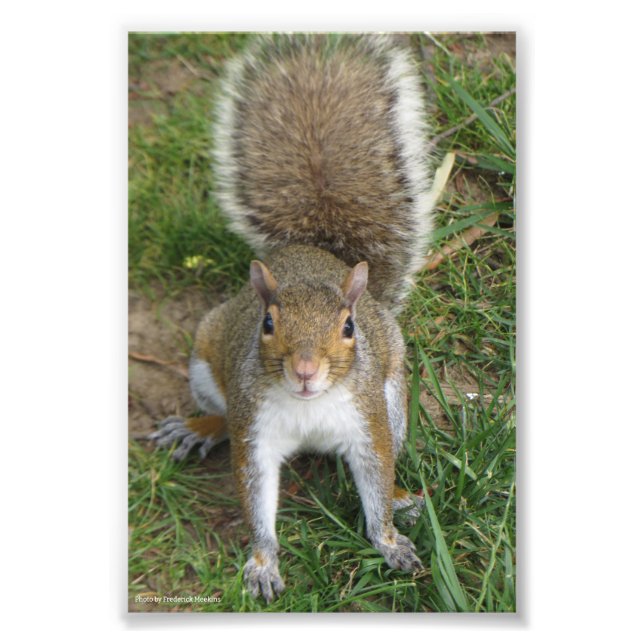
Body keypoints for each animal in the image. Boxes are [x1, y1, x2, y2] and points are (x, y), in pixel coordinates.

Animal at [150, 34, 436, 603]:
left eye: (348, 327)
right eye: (267, 323)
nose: (304, 371)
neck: (309, 407)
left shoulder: (367, 422)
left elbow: (375, 477)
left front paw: (390, 540)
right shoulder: (256, 432)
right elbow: (255, 495)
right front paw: (263, 563)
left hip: (393, 395)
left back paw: (402, 498)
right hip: (206, 366)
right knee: (222, 416)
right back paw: (197, 427)